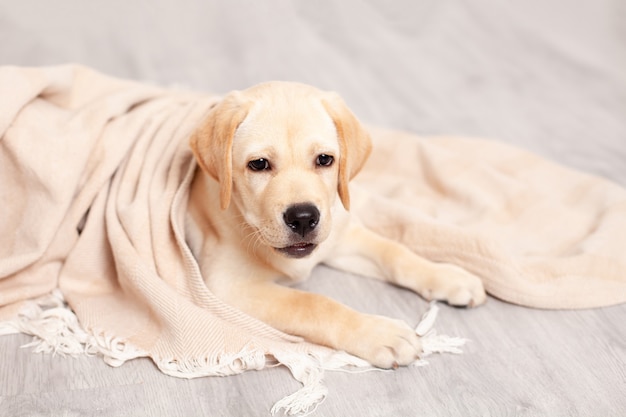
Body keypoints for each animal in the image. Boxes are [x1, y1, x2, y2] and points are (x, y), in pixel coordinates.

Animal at [183, 82, 486, 368]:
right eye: (258, 164)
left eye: (324, 159)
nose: (303, 218)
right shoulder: (227, 289)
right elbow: (312, 303)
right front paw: (378, 333)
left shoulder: (342, 237)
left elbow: (394, 252)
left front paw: (446, 275)